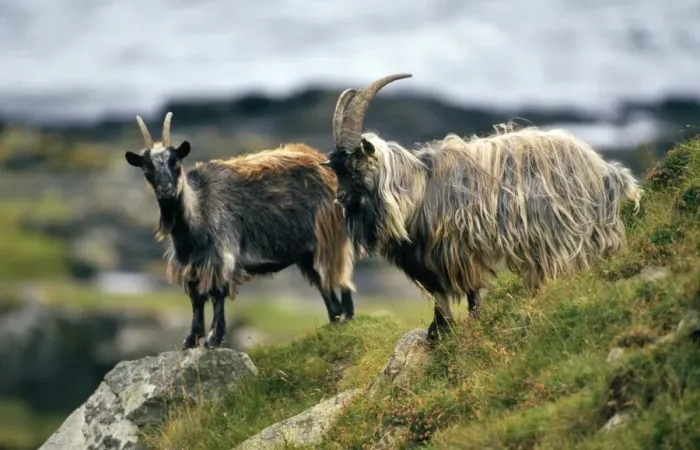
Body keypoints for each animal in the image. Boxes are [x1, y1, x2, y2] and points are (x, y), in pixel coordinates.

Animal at [124, 112, 356, 349]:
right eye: (146, 168)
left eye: (176, 162)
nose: (166, 190)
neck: (198, 208)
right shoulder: (191, 264)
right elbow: (196, 299)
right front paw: (192, 339)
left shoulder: (222, 254)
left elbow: (218, 294)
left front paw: (214, 339)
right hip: (307, 252)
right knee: (323, 283)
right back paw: (334, 319)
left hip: (330, 235)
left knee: (340, 273)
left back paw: (347, 315)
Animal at [324, 74, 642, 340]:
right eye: (336, 169)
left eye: (356, 166)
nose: (340, 198)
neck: (419, 190)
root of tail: (606, 171)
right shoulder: (426, 261)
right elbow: (440, 298)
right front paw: (437, 332)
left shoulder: (459, 251)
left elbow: (472, 293)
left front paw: (464, 328)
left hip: (565, 233)